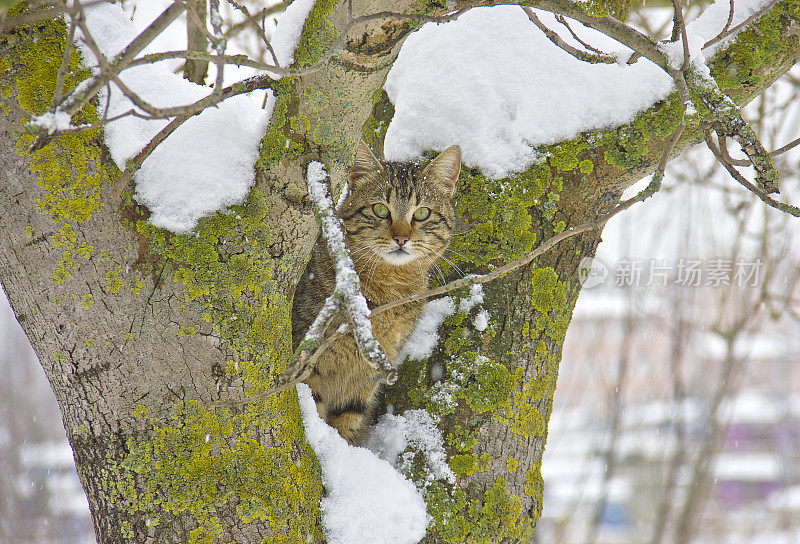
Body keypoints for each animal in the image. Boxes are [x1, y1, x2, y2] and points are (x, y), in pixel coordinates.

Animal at [292, 142, 456, 444]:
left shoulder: (367, 376)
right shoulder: (310, 361)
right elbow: (314, 405)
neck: (390, 289)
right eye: (380, 209)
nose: (401, 238)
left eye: (422, 213)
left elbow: (348, 418)